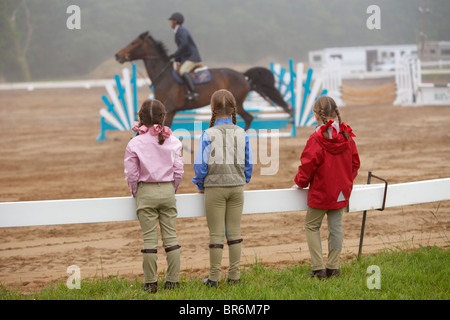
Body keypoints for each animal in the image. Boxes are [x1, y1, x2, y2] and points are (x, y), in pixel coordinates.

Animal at [116, 30, 292, 130]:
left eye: (134, 43)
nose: (118, 55)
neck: (163, 75)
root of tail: (242, 75)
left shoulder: (170, 110)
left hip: (237, 103)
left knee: (248, 118)